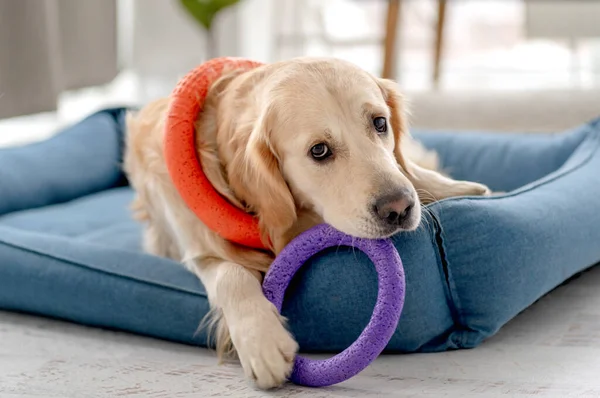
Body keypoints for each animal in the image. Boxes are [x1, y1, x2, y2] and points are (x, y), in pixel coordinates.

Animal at [123, 56, 492, 388]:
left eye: (379, 123)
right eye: (319, 151)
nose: (399, 209)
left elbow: (411, 172)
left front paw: (467, 190)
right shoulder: (196, 247)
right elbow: (230, 274)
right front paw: (262, 341)